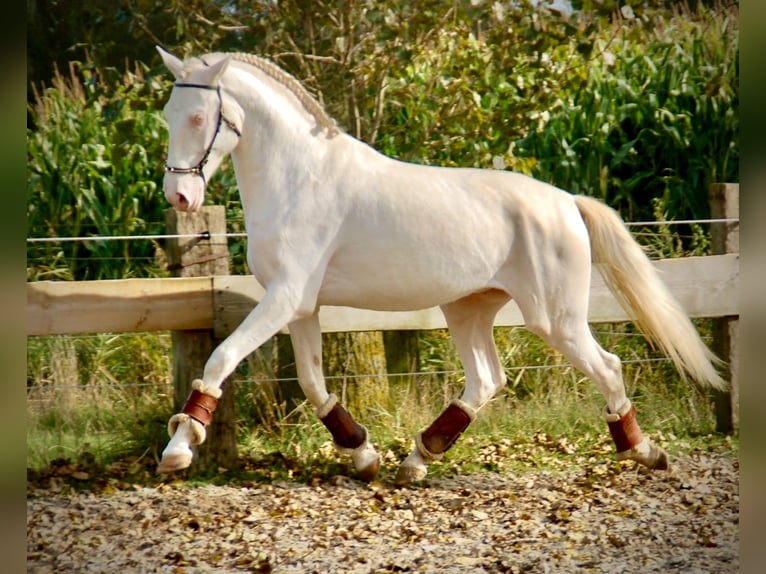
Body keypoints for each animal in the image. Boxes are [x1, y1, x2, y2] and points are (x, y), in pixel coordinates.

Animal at [156, 48, 728, 486]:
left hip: (554, 319)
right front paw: (364, 456)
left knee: (605, 367)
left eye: (199, 117)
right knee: (486, 380)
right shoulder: (299, 307)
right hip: (468, 308)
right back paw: (416, 460)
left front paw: (179, 448)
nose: (180, 196)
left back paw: (645, 452)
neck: (301, 177)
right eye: (167, 113)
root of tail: (568, 202)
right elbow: (313, 383)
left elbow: (221, 358)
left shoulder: (285, 298)